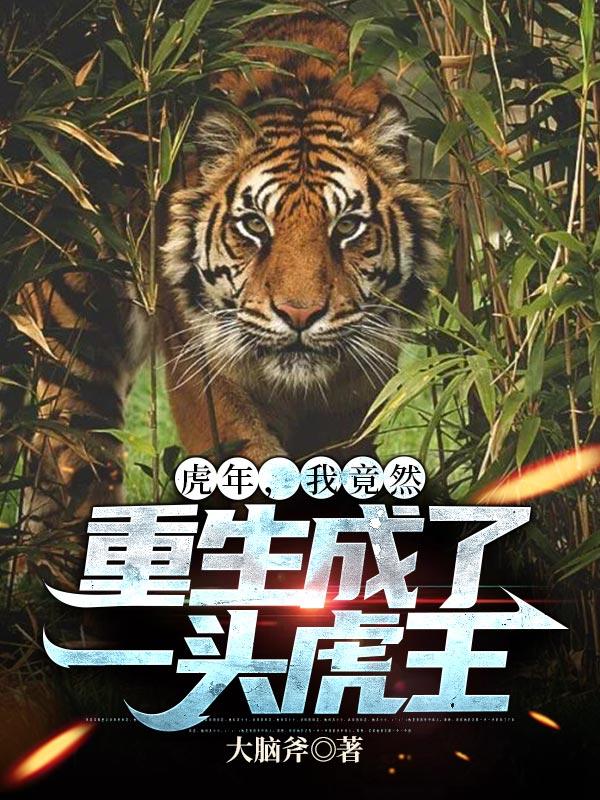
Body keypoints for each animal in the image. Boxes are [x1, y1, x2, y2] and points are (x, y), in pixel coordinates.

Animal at [0, 2, 440, 549]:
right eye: (254, 225)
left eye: (347, 227)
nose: (299, 314)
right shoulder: (206, 376)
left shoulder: (357, 391)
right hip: (76, 339)